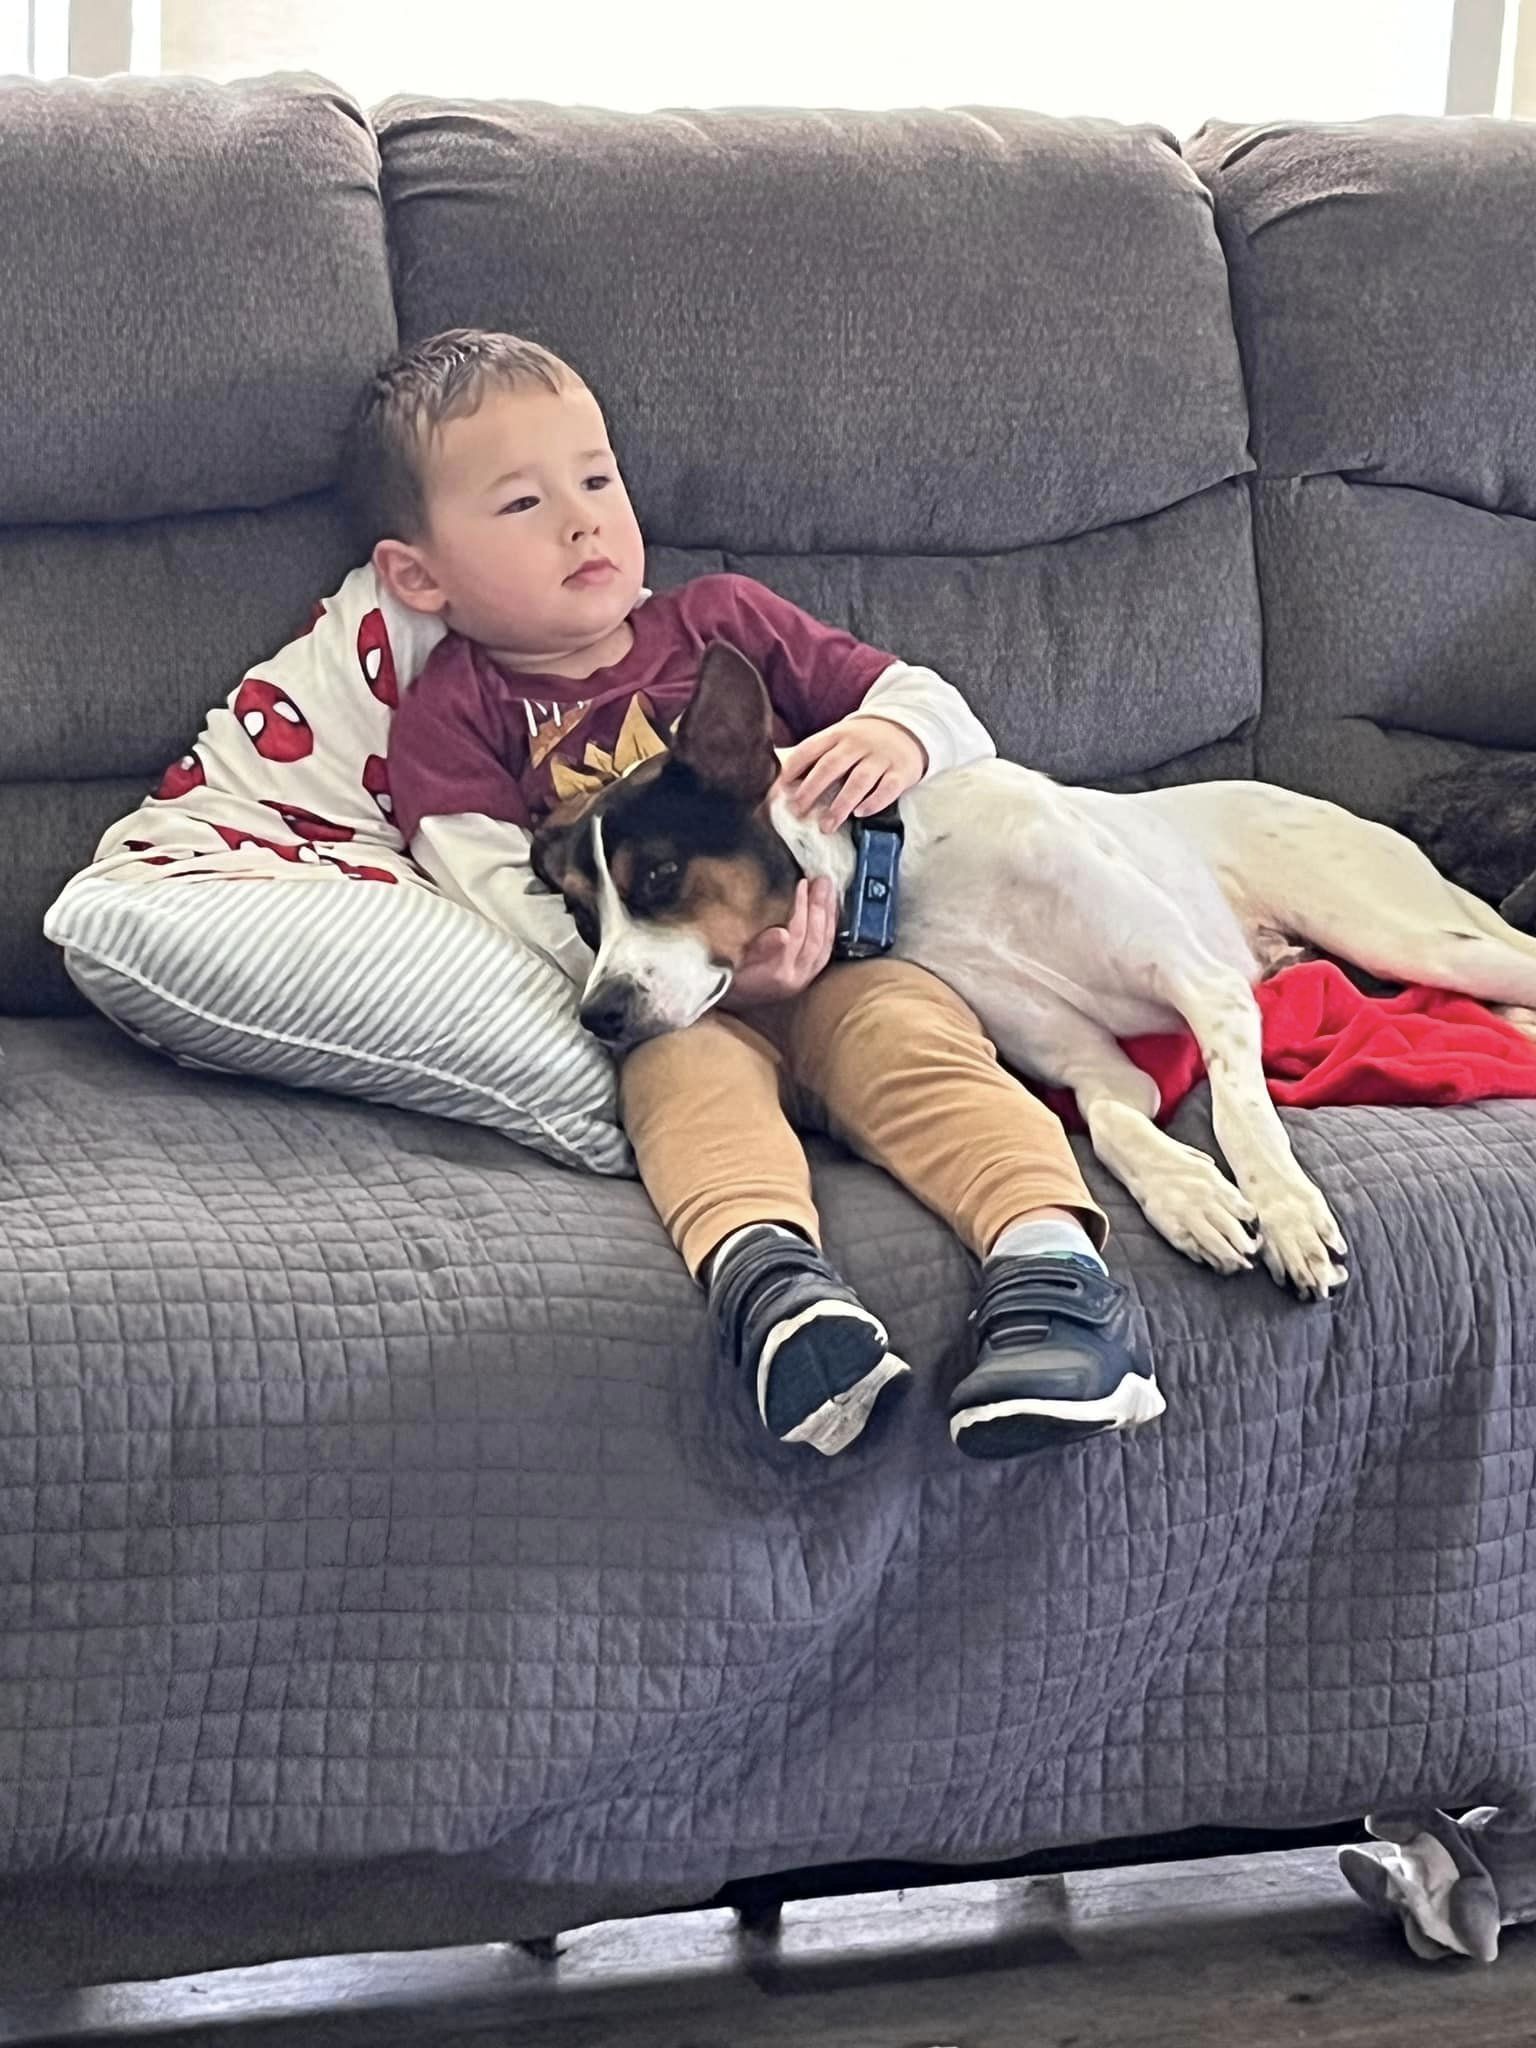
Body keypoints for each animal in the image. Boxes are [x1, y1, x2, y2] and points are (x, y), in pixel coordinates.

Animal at [532, 647, 1536, 1302]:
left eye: (660, 876)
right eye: (584, 919)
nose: (600, 1016)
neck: (915, 874)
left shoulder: (1205, 988)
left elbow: (1244, 1117)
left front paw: (1285, 1211)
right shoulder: (1102, 1067)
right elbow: (1113, 1122)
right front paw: (1192, 1199)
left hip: (1404, 933)